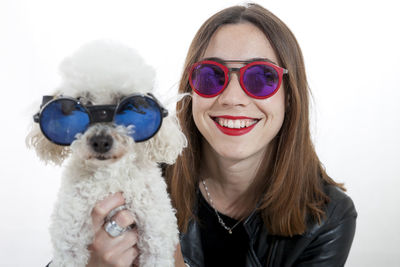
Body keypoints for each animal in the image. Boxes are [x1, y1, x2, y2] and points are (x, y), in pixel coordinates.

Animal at [26, 40, 186, 267]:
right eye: (81, 103)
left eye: (127, 106)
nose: (101, 142)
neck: (108, 177)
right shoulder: (69, 242)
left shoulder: (157, 239)